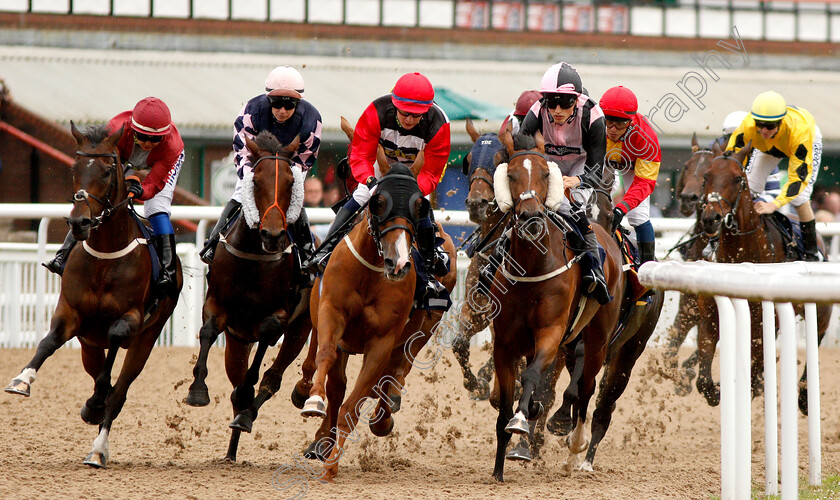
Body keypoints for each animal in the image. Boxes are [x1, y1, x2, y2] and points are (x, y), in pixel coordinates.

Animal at [4, 122, 180, 468]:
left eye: (108, 170)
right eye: (74, 168)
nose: (79, 221)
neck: (104, 256)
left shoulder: (132, 318)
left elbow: (115, 342)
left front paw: (96, 403)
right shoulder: (70, 312)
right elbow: (48, 341)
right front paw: (21, 379)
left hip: (146, 338)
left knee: (120, 389)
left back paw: (98, 446)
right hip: (88, 344)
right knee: (98, 369)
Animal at [185, 131, 314, 458]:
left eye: (291, 183)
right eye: (255, 181)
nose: (272, 234)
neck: (254, 257)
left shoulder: (280, 314)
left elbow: (267, 335)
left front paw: (247, 393)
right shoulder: (216, 304)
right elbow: (207, 331)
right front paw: (197, 390)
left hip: (300, 329)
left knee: (271, 380)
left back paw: (246, 415)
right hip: (237, 341)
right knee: (235, 385)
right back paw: (231, 451)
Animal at [298, 160, 456, 480]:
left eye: (419, 207)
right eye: (378, 202)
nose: (399, 263)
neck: (370, 272)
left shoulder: (382, 342)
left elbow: (353, 405)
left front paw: (332, 466)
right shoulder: (331, 314)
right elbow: (325, 359)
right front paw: (313, 400)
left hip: (422, 330)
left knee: (393, 374)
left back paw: (381, 419)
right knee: (334, 377)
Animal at [486, 132, 624, 480]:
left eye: (546, 174)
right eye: (511, 175)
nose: (532, 218)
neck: (532, 267)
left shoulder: (550, 333)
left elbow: (532, 377)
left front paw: (523, 418)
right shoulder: (504, 344)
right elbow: (504, 406)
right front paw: (498, 470)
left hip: (598, 339)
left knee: (586, 388)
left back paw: (577, 448)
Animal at [696, 142, 832, 414]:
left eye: (738, 179)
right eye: (706, 177)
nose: (710, 219)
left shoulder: (766, 322)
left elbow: (754, 367)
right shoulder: (710, 318)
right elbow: (703, 379)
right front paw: (717, 391)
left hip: (821, 311)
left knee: (817, 338)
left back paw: (804, 397)